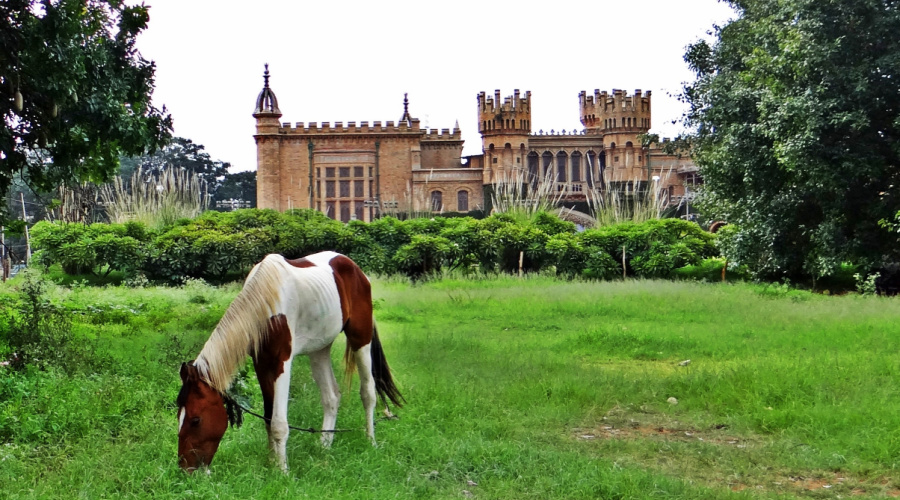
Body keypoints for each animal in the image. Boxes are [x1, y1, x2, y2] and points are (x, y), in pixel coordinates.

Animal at [176, 252, 400, 470]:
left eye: (195, 420)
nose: (186, 468)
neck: (266, 308)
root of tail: (356, 269)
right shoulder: (261, 364)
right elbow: (268, 417)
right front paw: (272, 463)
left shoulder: (281, 363)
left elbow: (279, 423)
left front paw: (282, 471)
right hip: (319, 348)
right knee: (331, 397)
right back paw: (324, 446)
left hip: (360, 338)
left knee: (368, 392)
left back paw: (370, 441)